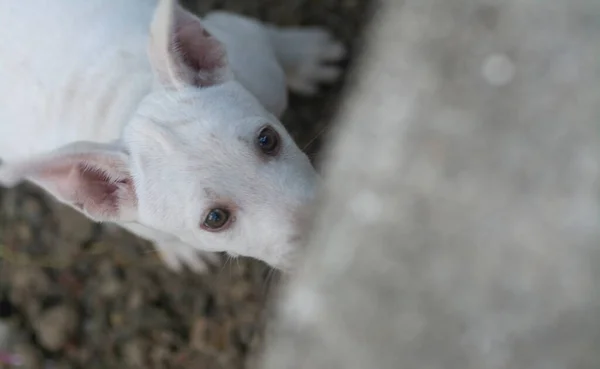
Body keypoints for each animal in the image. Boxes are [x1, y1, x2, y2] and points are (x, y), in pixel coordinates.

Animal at [0, 0, 346, 270]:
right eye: (215, 219)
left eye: (267, 139)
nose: (327, 238)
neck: (130, 95)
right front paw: (181, 249)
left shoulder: (247, 50)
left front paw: (304, 57)